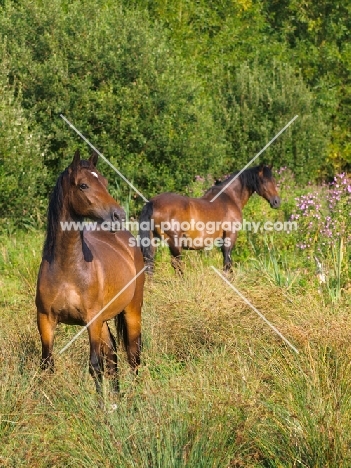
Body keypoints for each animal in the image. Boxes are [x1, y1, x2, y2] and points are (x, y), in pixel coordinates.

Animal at [35, 148, 145, 394]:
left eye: (104, 182)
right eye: (83, 185)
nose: (118, 215)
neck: (67, 269)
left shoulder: (91, 320)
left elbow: (95, 365)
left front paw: (101, 403)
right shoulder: (45, 320)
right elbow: (47, 364)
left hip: (131, 311)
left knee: (133, 355)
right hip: (104, 320)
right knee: (113, 355)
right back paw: (117, 395)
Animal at [139, 166, 282, 272]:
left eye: (274, 181)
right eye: (264, 181)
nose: (276, 202)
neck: (229, 197)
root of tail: (152, 203)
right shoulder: (230, 235)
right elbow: (227, 261)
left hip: (153, 241)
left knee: (149, 264)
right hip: (174, 242)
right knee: (176, 264)